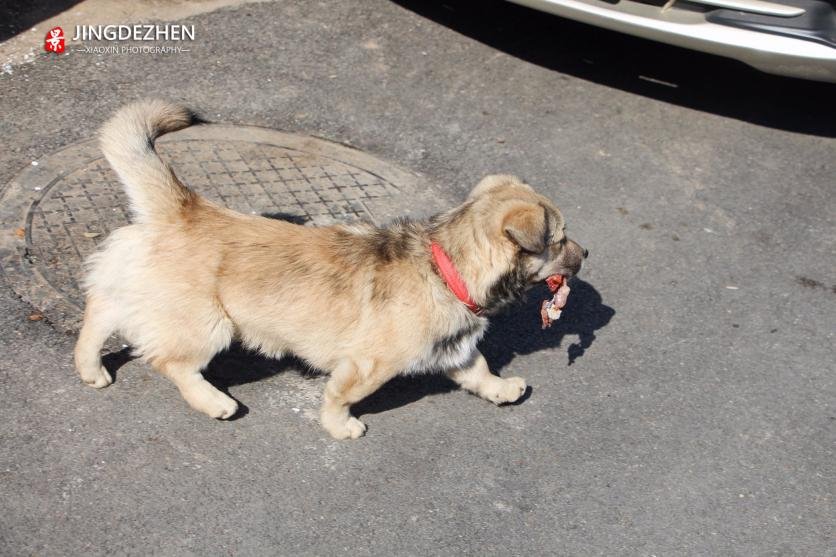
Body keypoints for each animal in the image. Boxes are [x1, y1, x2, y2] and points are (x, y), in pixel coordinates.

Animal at [76, 100, 588, 438]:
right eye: (560, 239)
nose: (586, 255)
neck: (446, 266)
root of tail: (185, 208)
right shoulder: (367, 366)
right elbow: (341, 396)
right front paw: (340, 427)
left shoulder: (453, 350)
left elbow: (478, 368)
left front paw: (501, 389)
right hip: (209, 325)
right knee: (171, 362)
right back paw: (213, 401)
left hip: (136, 290)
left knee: (100, 310)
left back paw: (90, 367)